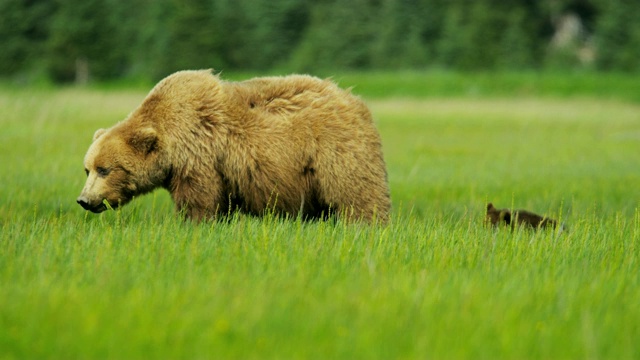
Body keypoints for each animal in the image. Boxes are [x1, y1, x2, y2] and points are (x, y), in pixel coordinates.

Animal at [75, 69, 390, 222]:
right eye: (87, 169)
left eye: (105, 169)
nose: (85, 200)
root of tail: (356, 101)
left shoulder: (199, 156)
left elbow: (199, 202)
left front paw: (193, 224)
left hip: (334, 151)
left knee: (356, 195)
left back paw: (366, 225)